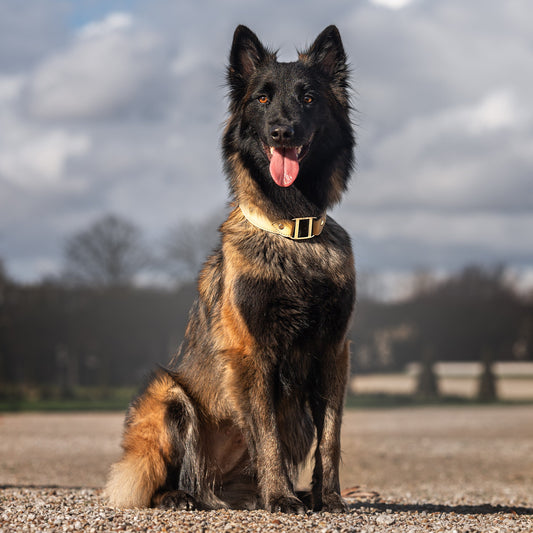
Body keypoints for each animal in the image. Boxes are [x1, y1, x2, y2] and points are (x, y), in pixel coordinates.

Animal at [105, 23, 356, 512]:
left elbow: (332, 437)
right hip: (169, 396)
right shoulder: (251, 353)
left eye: (309, 97)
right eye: (262, 98)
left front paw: (329, 498)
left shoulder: (333, 351)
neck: (291, 231)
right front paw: (280, 498)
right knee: (165, 477)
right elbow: (267, 433)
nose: (282, 132)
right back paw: (181, 495)